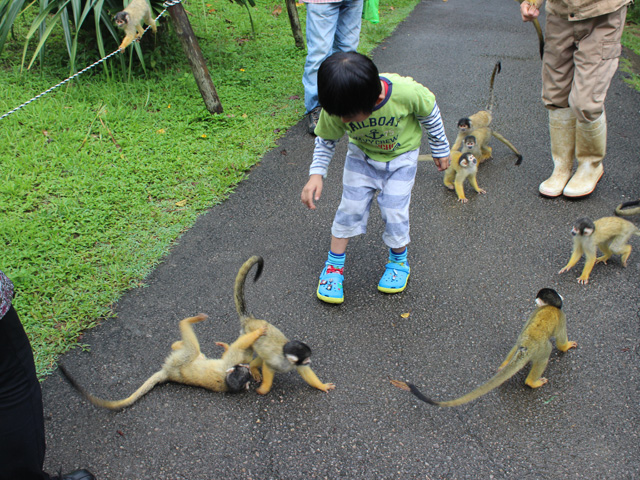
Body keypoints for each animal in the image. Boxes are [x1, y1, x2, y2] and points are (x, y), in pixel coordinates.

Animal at [58, 314, 266, 410]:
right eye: (243, 369)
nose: (246, 368)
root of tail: (168, 374)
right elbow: (234, 350)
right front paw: (257, 332)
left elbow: (237, 350)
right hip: (179, 362)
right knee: (194, 351)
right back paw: (184, 331)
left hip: (177, 363)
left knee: (191, 350)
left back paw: (185, 325)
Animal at [234, 256, 336, 396]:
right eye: (306, 359)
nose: (310, 361)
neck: (286, 357)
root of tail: (249, 320)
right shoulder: (277, 362)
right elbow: (267, 366)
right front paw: (264, 389)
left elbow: (305, 372)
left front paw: (322, 386)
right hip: (245, 335)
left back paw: (253, 366)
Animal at [392, 286, 576, 406]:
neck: (550, 306)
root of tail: (527, 345)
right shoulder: (562, 317)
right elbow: (561, 339)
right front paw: (566, 346)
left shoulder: (533, 314)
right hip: (540, 349)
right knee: (546, 352)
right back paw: (532, 382)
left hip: (524, 343)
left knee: (518, 342)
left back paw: (506, 366)